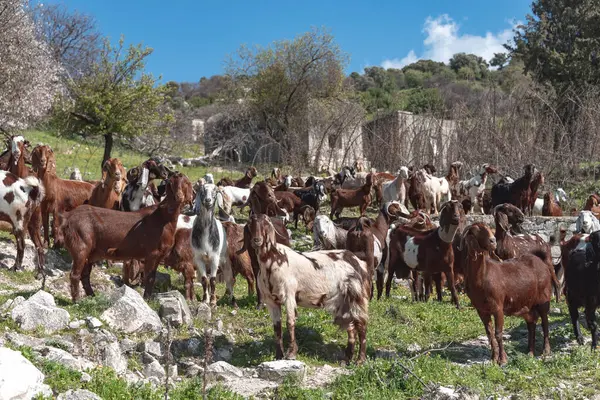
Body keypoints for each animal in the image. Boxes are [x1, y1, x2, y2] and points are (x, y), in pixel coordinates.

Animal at [462, 223, 556, 364]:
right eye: (476, 230)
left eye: (489, 229)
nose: (492, 241)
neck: (482, 276)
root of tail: (541, 262)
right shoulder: (481, 310)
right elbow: (489, 333)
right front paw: (493, 358)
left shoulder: (498, 307)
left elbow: (498, 333)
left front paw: (503, 359)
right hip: (527, 306)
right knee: (531, 324)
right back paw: (529, 352)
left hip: (543, 299)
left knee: (544, 321)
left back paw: (546, 350)